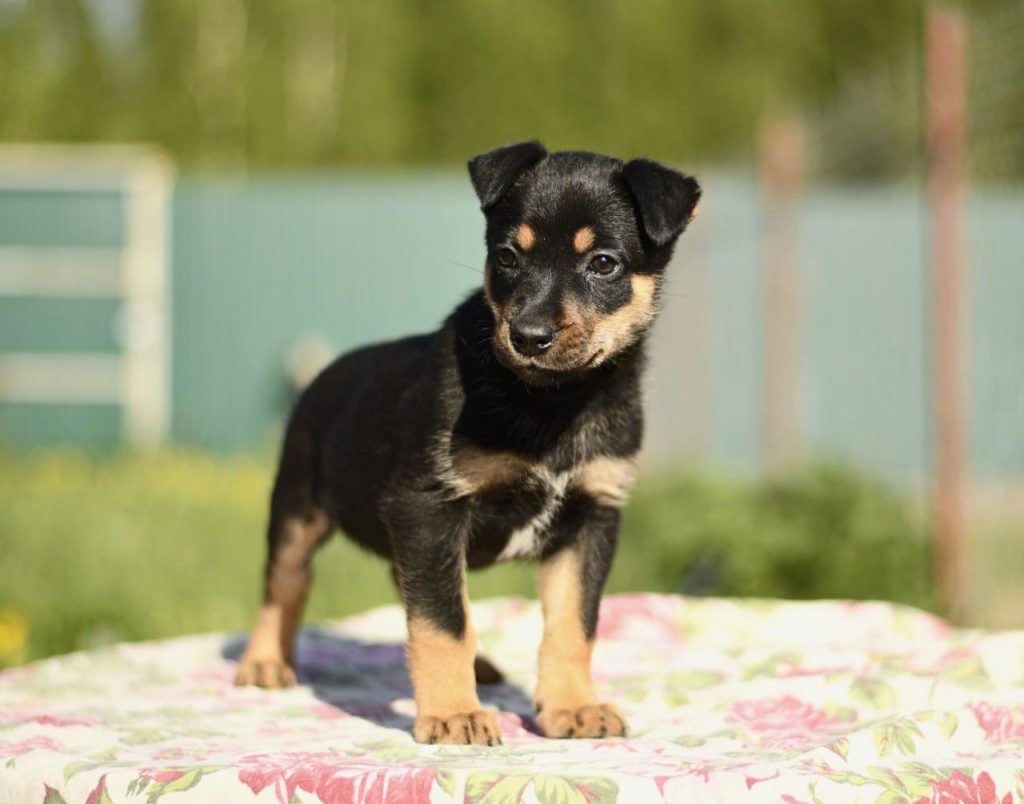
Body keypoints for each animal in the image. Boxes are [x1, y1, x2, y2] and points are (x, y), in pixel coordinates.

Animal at [234, 139, 700, 745]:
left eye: (604, 263)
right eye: (506, 257)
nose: (528, 336)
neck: (551, 401)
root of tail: (320, 375)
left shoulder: (591, 516)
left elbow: (572, 623)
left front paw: (573, 707)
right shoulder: (427, 503)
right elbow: (442, 621)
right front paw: (453, 714)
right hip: (297, 502)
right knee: (286, 581)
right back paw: (265, 661)